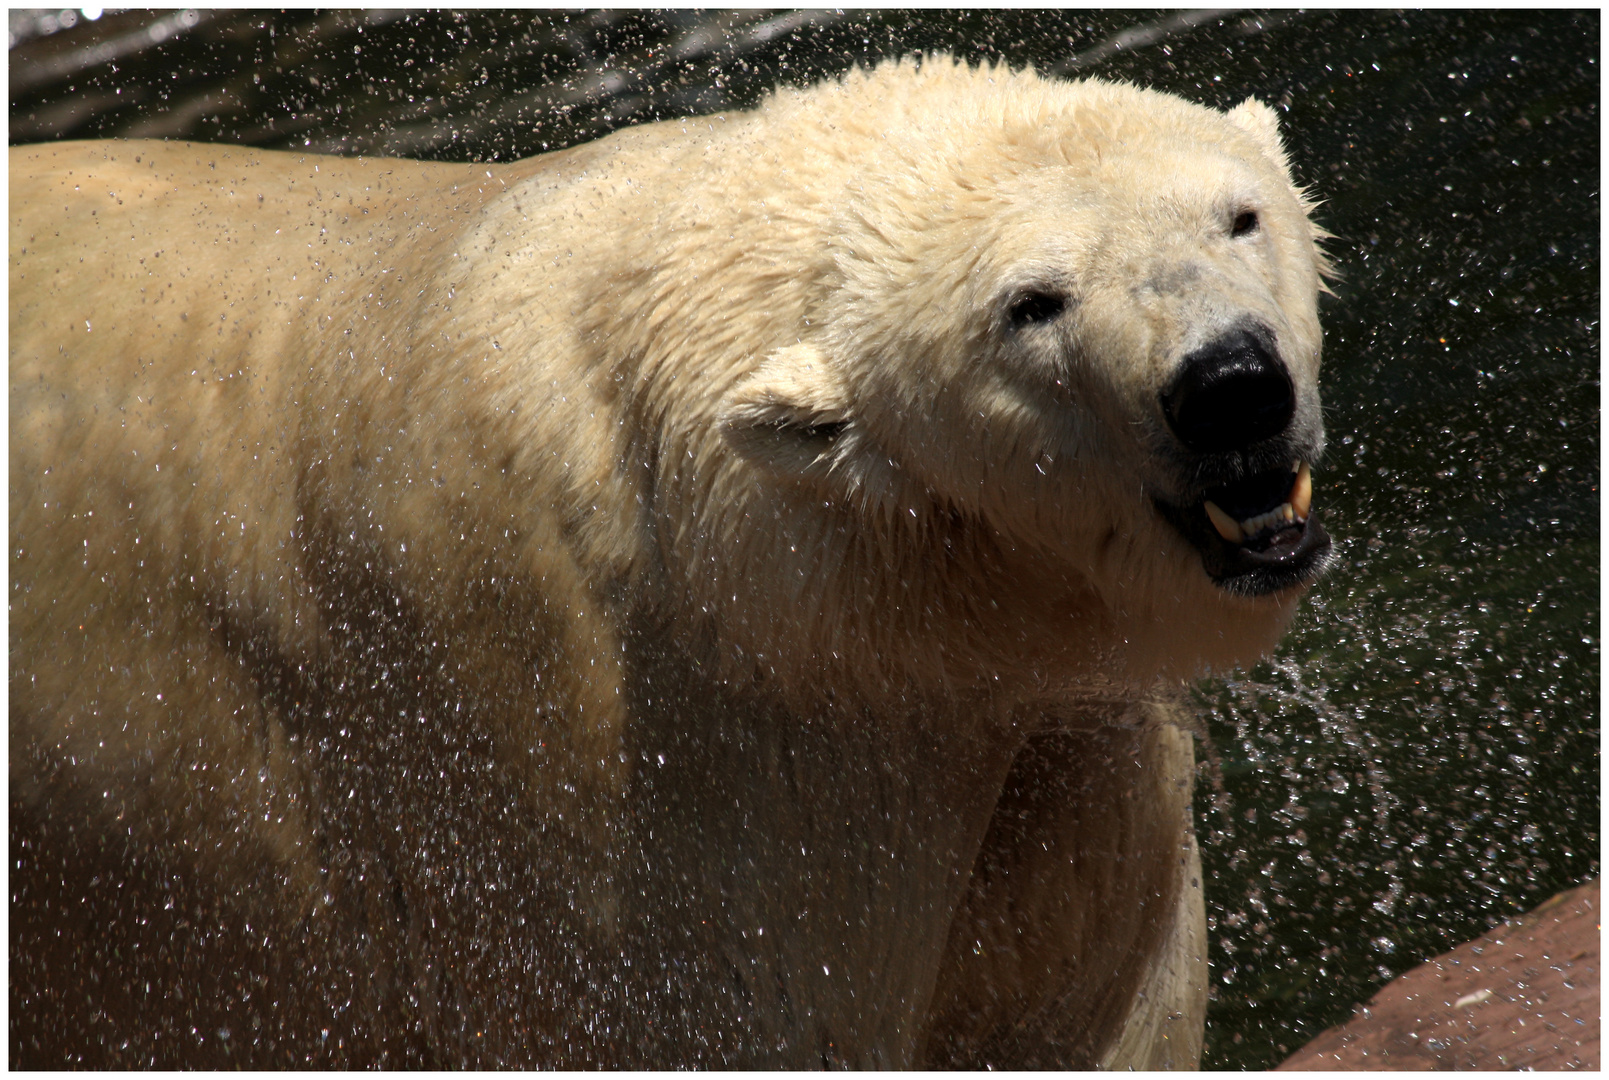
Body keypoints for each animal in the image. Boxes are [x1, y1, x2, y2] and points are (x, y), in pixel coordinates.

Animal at [6, 59, 1325, 1075]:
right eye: (1031, 304)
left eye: (1239, 216)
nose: (1230, 386)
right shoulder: (653, 780)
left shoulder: (1043, 745)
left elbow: (1084, 996)